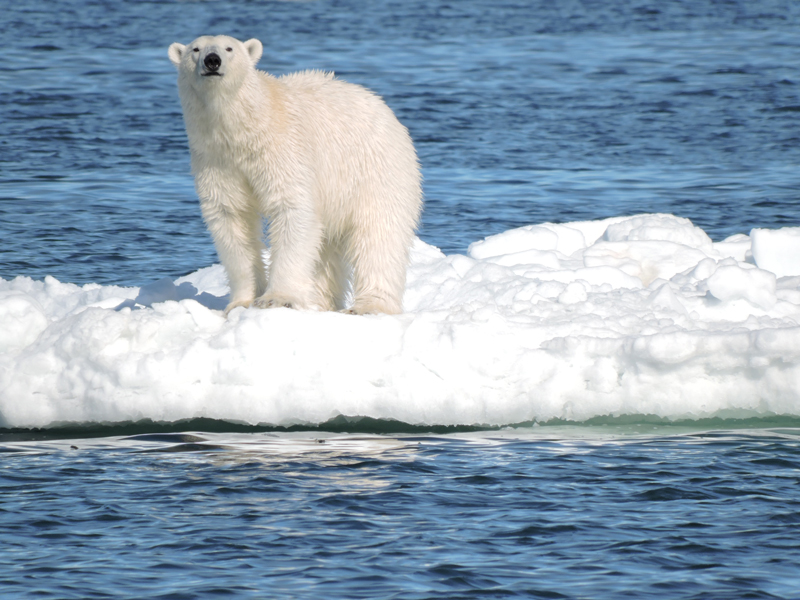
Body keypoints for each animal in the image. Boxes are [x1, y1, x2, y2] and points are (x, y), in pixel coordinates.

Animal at [168, 35, 422, 315]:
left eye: (229, 48)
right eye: (196, 49)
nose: (212, 61)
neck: (241, 133)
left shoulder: (284, 148)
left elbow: (291, 208)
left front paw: (276, 299)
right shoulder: (217, 161)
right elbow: (231, 217)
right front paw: (242, 302)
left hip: (375, 169)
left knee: (378, 234)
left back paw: (368, 306)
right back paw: (320, 302)